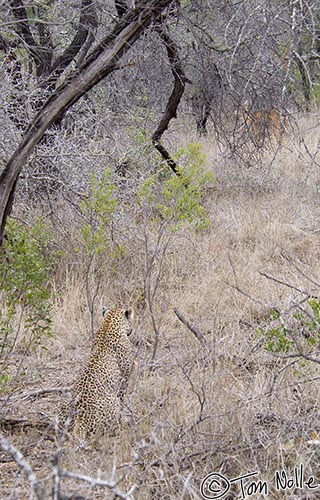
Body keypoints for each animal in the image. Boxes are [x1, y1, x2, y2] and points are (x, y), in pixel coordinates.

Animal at [60, 304, 134, 442]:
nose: (131, 330)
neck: (108, 323)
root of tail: (80, 420)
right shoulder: (124, 377)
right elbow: (122, 398)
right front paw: (123, 416)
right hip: (112, 403)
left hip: (63, 404)